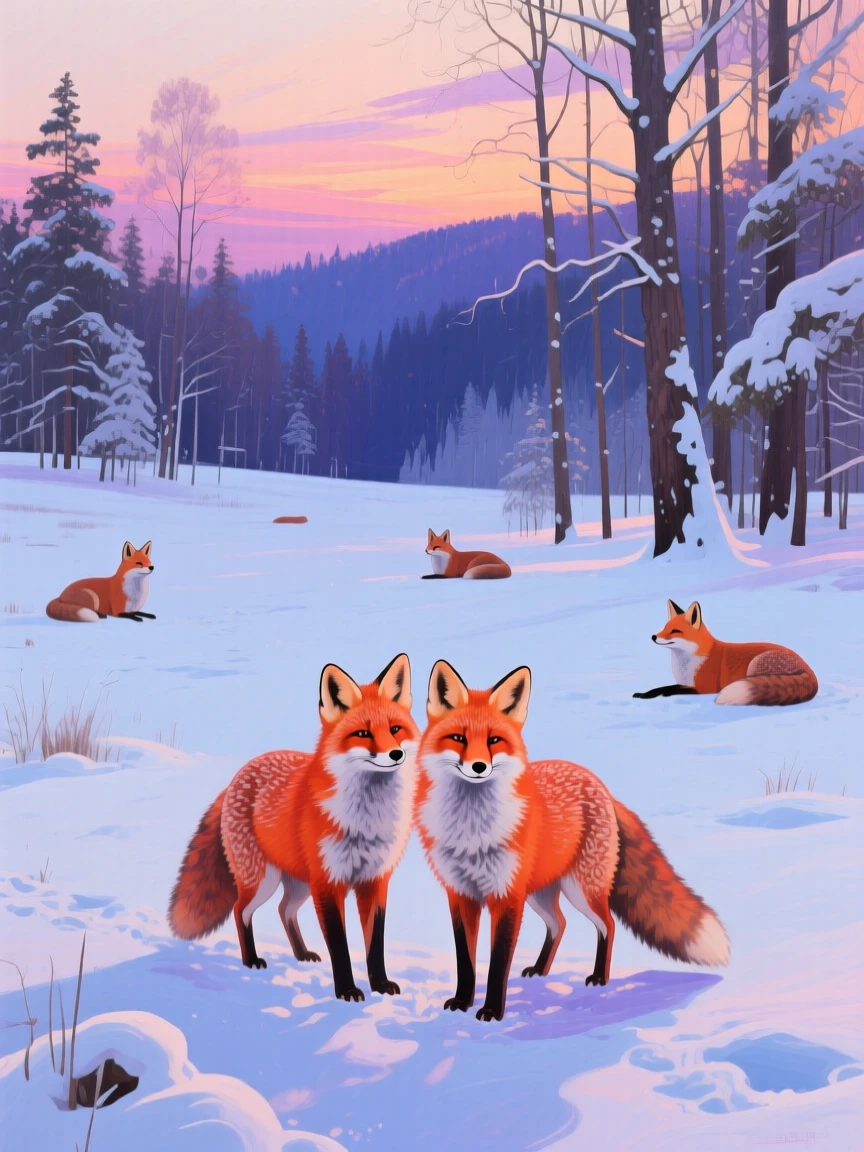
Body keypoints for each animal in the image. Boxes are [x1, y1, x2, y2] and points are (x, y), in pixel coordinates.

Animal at [169, 654, 419, 1003]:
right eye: (362, 734)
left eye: (395, 729)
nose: (396, 754)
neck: (366, 820)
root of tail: (237, 776)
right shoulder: (328, 883)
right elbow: (339, 946)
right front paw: (347, 990)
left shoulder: (375, 881)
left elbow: (375, 945)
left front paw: (380, 985)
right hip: (264, 880)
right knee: (240, 910)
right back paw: (251, 960)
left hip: (298, 884)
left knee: (284, 910)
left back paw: (301, 954)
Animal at [416, 660, 729, 1022]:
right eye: (458, 738)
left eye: (494, 740)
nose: (479, 766)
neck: (472, 829)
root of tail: (601, 785)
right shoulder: (460, 894)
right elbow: (465, 961)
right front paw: (462, 1002)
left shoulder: (506, 896)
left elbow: (497, 964)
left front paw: (492, 1011)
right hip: (539, 893)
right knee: (560, 923)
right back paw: (540, 970)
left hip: (581, 890)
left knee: (607, 925)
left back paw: (599, 978)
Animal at [633, 600, 818, 706]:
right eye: (665, 627)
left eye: (675, 631)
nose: (653, 636)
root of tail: (809, 670)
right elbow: (660, 687)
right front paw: (643, 694)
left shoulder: (704, 688)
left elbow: (669, 689)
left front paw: (660, 695)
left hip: (755, 665)